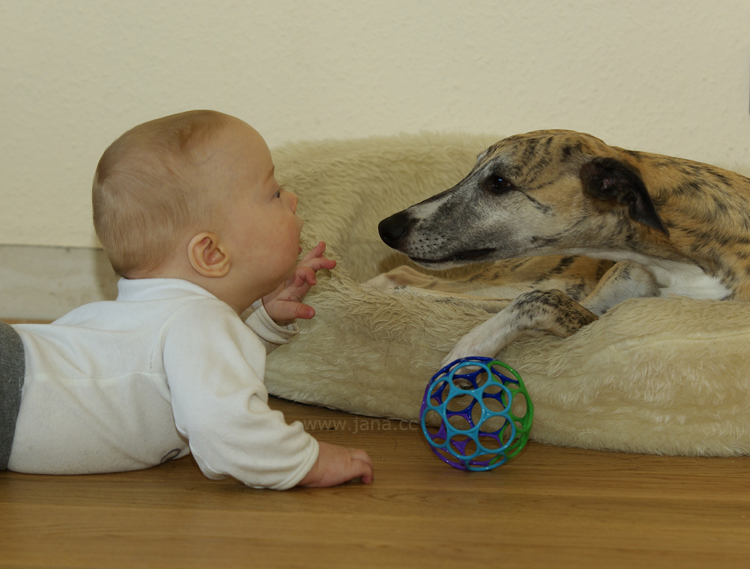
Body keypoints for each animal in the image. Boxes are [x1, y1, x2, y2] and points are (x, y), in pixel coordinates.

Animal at [378, 130, 750, 364]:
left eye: (498, 183)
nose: (387, 228)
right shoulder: (596, 306)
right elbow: (528, 300)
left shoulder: (603, 320)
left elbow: (539, 301)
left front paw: (466, 350)